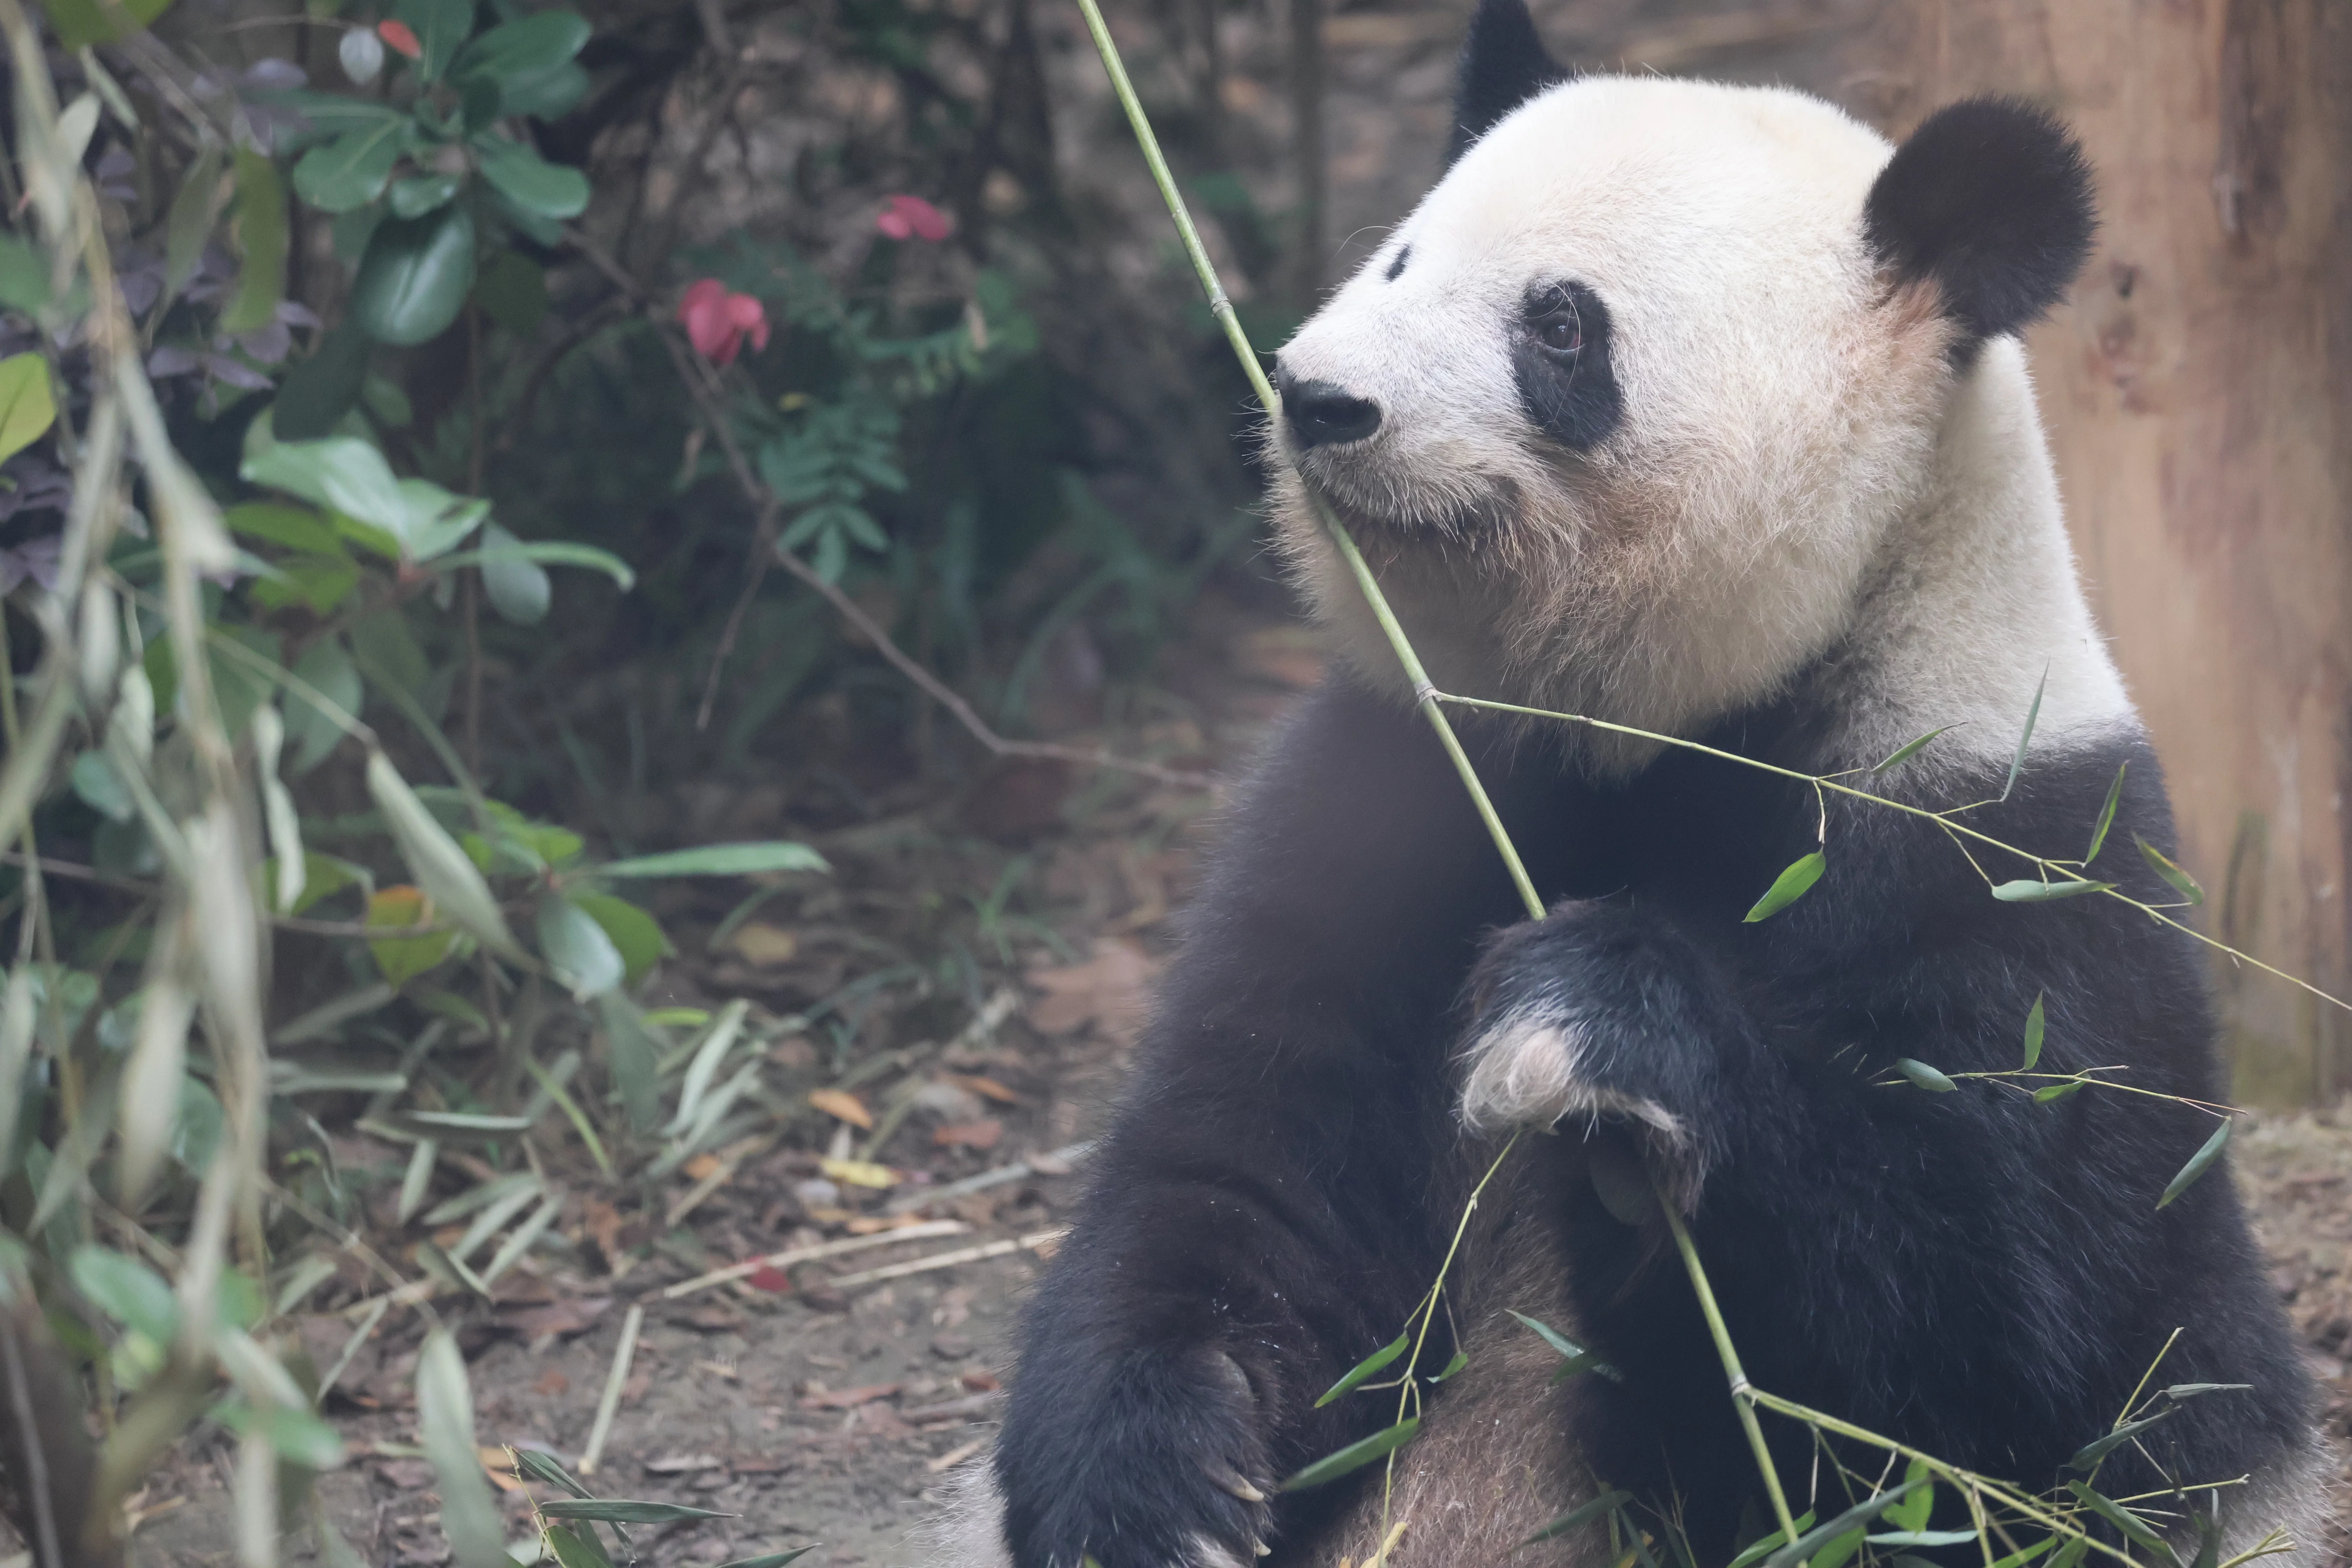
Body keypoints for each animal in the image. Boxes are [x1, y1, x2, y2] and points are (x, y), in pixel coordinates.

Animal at [929, 4, 2328, 1565]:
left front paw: (1595, 1022)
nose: (1320, 400)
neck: (1661, 724)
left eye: (1559, 324)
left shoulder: (2008, 844)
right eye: (1403, 255)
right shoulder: (1388, 790)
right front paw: (1159, 1492)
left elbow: (2029, 1368)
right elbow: (1229, 1175)